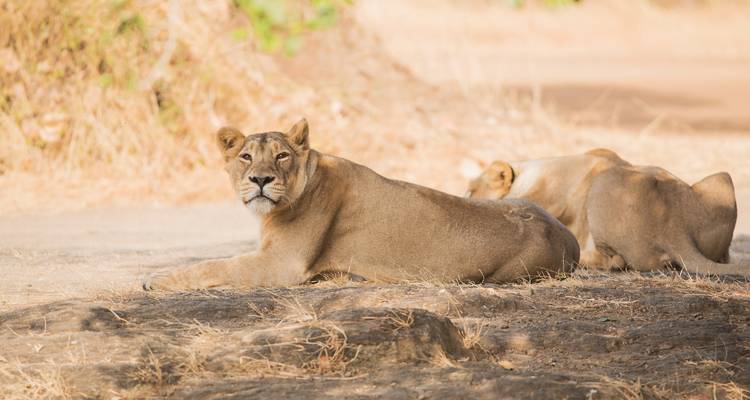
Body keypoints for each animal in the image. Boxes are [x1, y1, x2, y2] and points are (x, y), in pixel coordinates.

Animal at [143, 119, 579, 290]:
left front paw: (156, 279)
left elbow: (213, 265)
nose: (261, 180)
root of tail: (570, 240)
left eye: (281, 156)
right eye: (246, 157)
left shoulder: (281, 264)